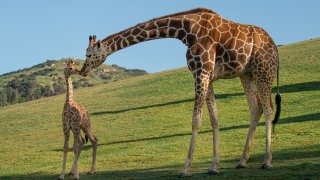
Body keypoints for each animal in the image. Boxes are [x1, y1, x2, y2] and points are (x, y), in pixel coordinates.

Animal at [79, 7, 280, 176]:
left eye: (88, 54)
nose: (82, 70)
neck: (185, 31)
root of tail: (275, 48)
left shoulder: (202, 72)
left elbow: (196, 120)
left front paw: (185, 169)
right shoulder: (205, 75)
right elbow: (214, 119)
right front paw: (214, 166)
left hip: (263, 71)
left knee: (269, 109)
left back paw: (267, 161)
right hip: (247, 74)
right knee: (256, 109)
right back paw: (242, 161)